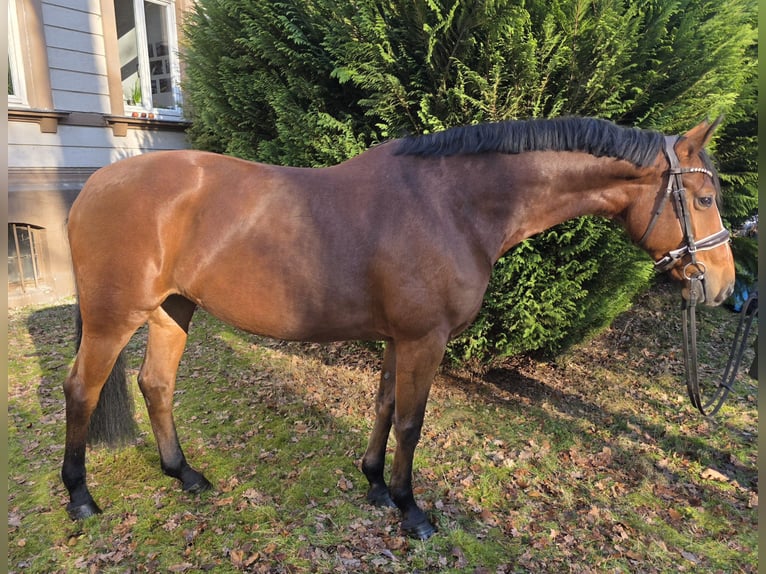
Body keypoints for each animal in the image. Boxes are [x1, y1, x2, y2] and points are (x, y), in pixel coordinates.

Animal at [62, 116, 734, 539]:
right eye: (703, 200)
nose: (724, 286)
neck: (453, 204)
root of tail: (94, 184)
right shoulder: (423, 339)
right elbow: (411, 422)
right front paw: (413, 512)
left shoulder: (396, 340)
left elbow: (385, 407)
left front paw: (377, 486)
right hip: (114, 318)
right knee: (81, 392)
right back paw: (81, 498)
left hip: (173, 310)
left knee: (156, 385)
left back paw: (185, 475)